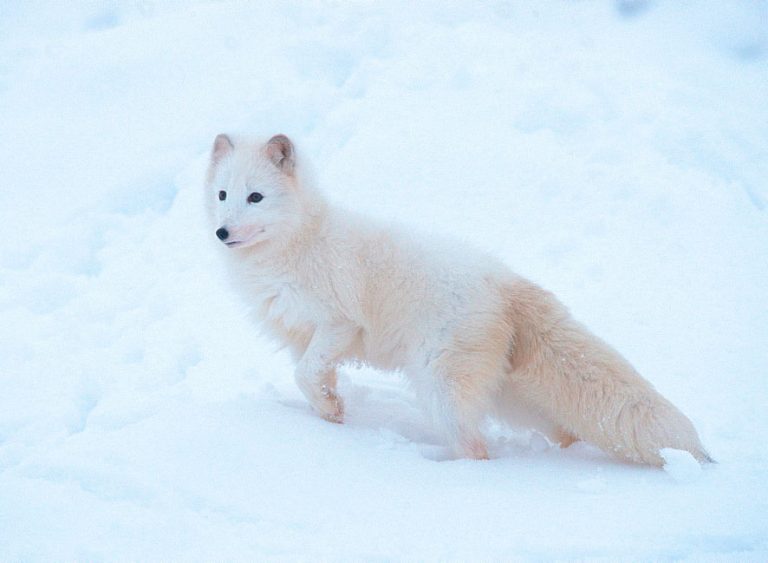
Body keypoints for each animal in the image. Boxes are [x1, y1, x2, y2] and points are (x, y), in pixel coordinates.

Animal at [206, 132, 712, 468]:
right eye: (223, 194)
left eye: (256, 197)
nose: (222, 232)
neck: (297, 242)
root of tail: (504, 281)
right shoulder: (301, 335)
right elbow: (312, 380)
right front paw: (330, 418)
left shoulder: (339, 323)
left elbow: (306, 373)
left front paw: (330, 415)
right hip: (510, 397)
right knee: (565, 430)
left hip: (442, 387)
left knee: (477, 450)